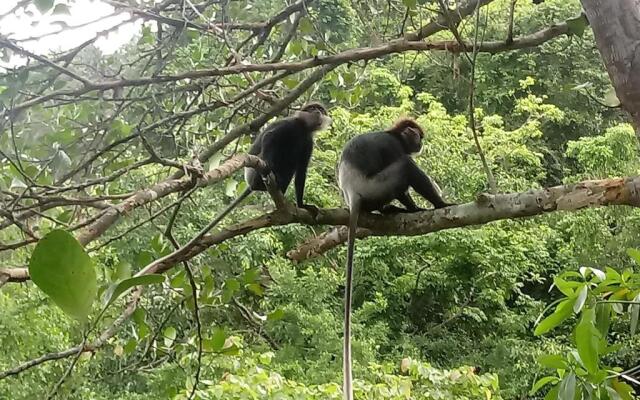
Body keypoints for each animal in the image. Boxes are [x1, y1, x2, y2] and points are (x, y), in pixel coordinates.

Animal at [204, 103, 336, 233]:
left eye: (321, 110)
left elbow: (301, 171)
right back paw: (260, 181)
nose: (317, 112)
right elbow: (269, 136)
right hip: (253, 171)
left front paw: (302, 205)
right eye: (312, 108)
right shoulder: (290, 124)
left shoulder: (309, 143)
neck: (303, 128)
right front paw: (268, 163)